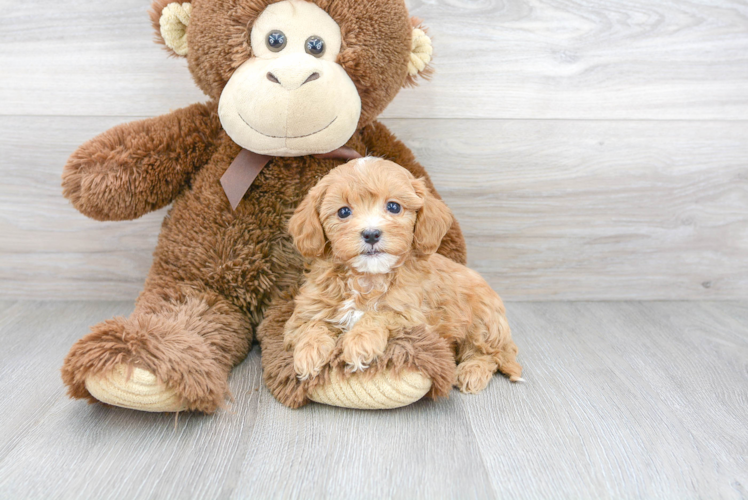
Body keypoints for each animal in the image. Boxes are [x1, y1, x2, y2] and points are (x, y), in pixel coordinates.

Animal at [284, 158, 524, 392]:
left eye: (393, 206)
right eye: (343, 212)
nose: (371, 234)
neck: (367, 277)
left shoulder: (414, 316)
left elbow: (380, 314)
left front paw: (360, 342)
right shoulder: (308, 309)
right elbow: (311, 324)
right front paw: (309, 353)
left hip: (482, 320)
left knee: (489, 354)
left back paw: (472, 372)